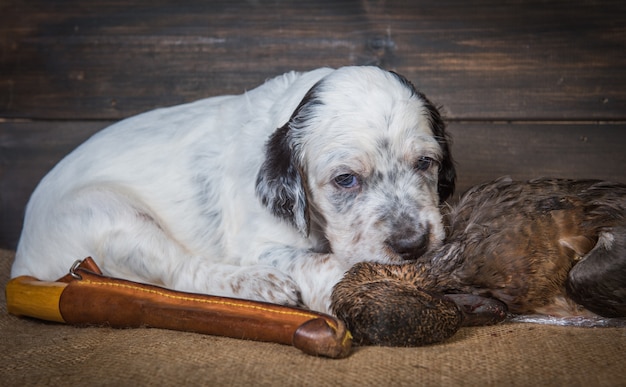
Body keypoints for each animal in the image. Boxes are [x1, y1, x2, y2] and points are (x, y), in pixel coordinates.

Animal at [11, 66, 454, 316]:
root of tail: (21, 262)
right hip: (109, 215)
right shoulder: (255, 243)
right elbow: (320, 263)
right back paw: (260, 285)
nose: (413, 244)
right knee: (181, 273)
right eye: (345, 179)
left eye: (425, 163)